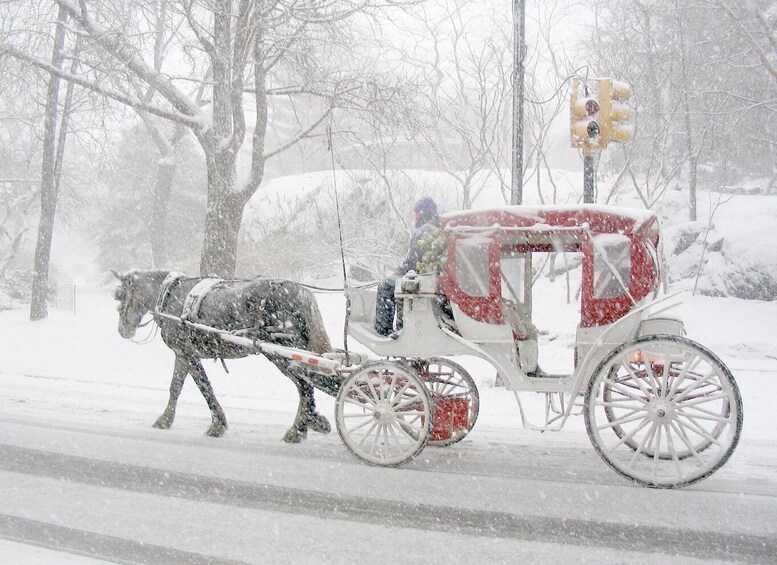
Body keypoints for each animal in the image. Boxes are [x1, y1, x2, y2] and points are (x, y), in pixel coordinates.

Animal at [113, 268, 334, 440]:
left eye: (120, 296)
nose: (123, 331)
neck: (171, 297)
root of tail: (301, 292)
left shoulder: (185, 353)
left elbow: (195, 387)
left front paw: (211, 425)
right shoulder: (186, 354)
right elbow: (186, 386)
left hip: (282, 353)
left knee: (305, 385)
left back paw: (297, 430)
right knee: (309, 384)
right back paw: (308, 423)